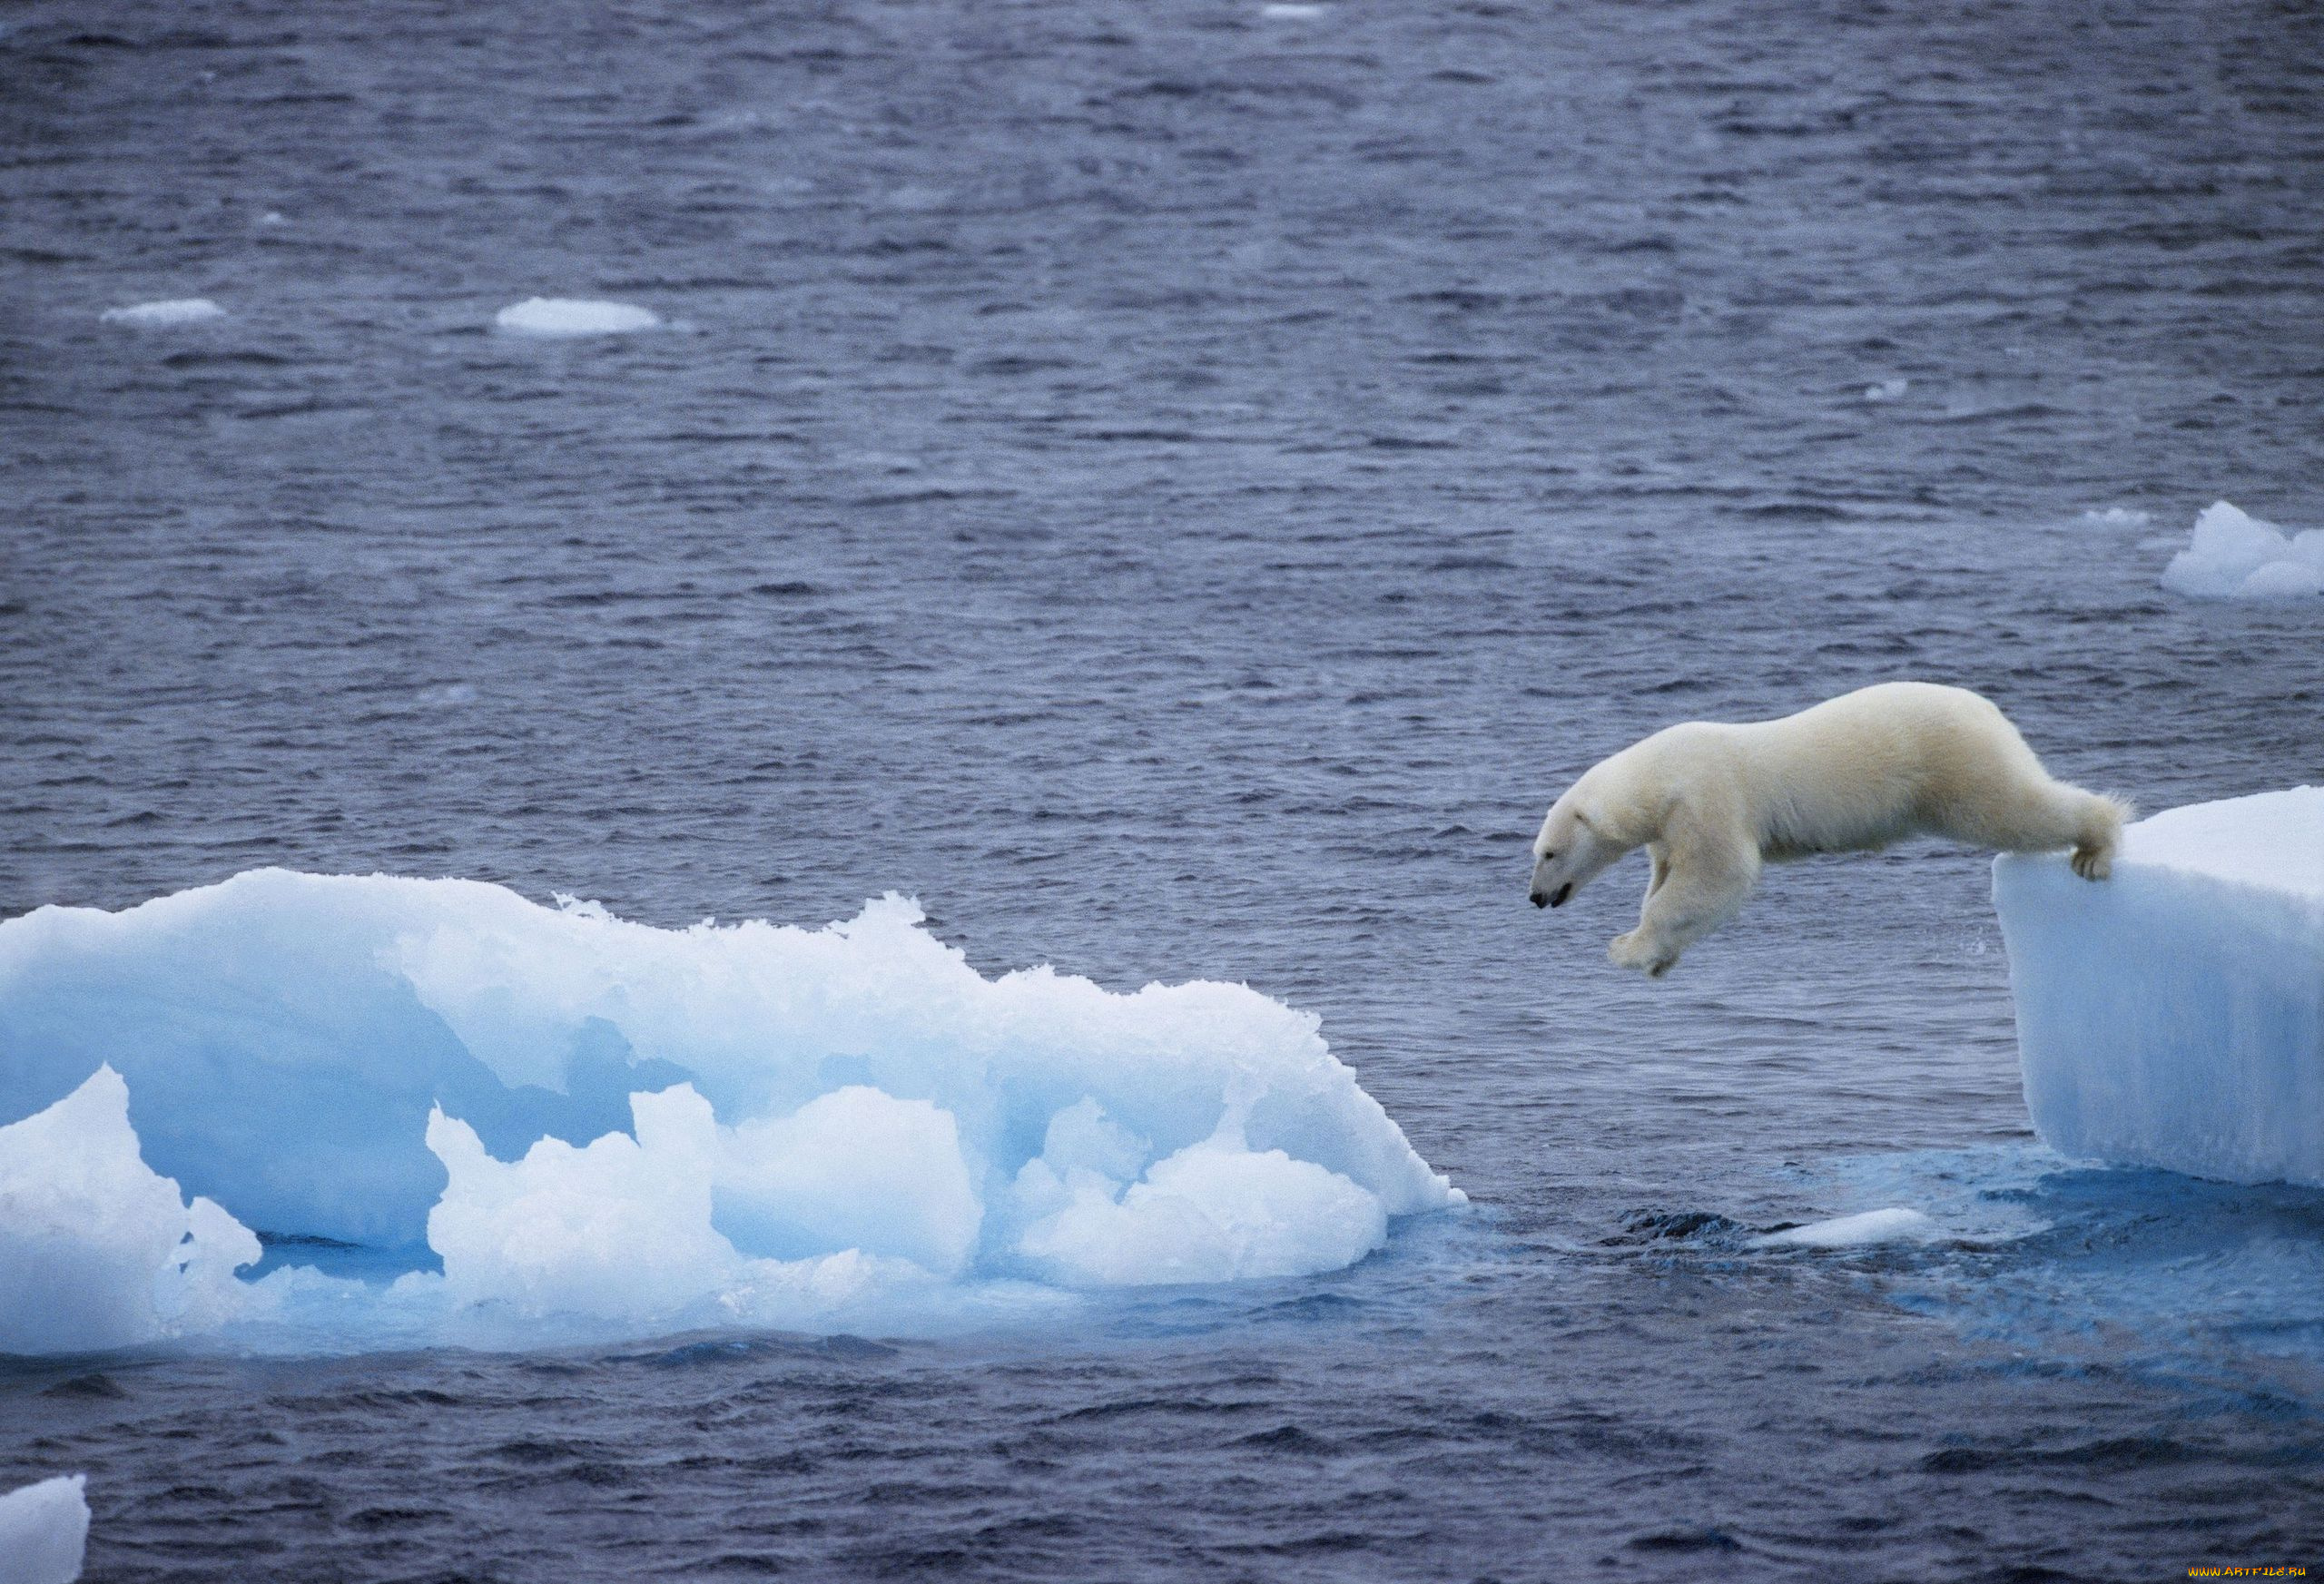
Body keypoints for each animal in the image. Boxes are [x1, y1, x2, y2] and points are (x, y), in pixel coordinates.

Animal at [1526, 682, 2129, 978]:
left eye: (1549, 853)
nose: (1535, 897)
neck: (1658, 776)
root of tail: (1988, 709)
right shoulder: (1671, 826)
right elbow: (1674, 882)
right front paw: (1658, 957)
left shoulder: (1706, 798)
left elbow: (1720, 874)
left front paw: (1626, 948)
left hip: (1953, 763)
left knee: (2012, 809)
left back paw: (2095, 846)